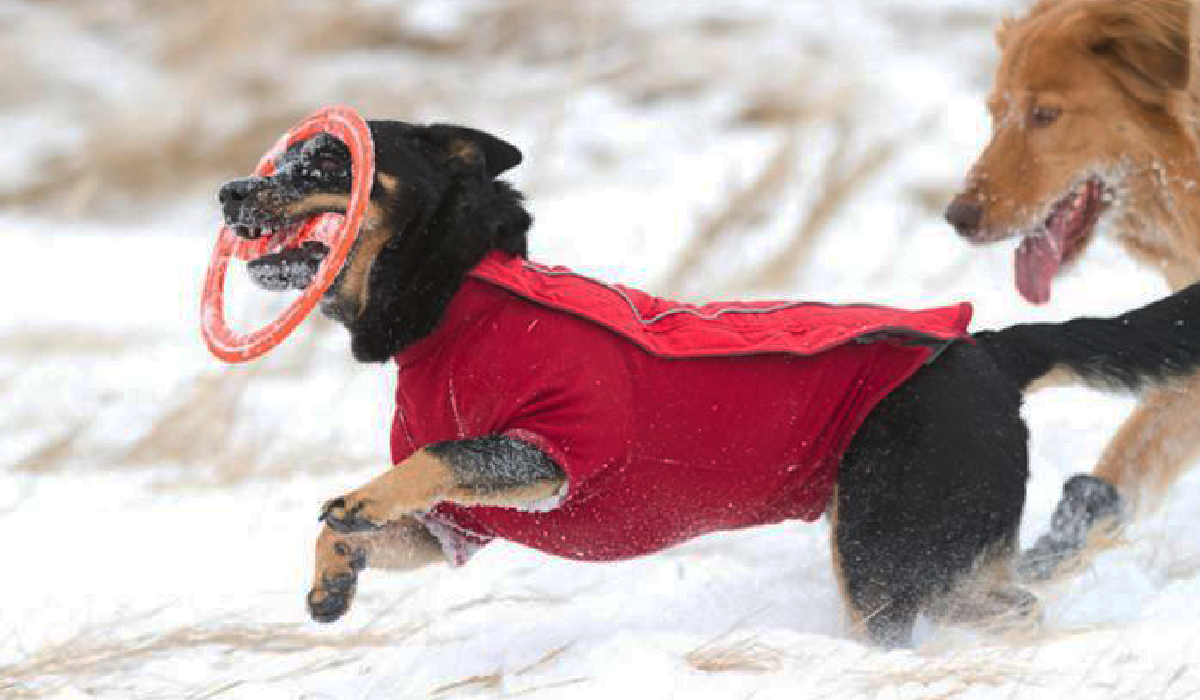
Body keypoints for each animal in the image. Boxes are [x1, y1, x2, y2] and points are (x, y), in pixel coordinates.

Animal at [218, 120, 1200, 648]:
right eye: (282, 160)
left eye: (326, 163)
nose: (230, 191)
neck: (461, 297)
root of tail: (989, 350)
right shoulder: (462, 524)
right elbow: (373, 511)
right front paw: (334, 574)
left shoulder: (547, 453)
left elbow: (432, 455)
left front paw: (354, 506)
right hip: (939, 547)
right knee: (1015, 600)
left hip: (886, 550)